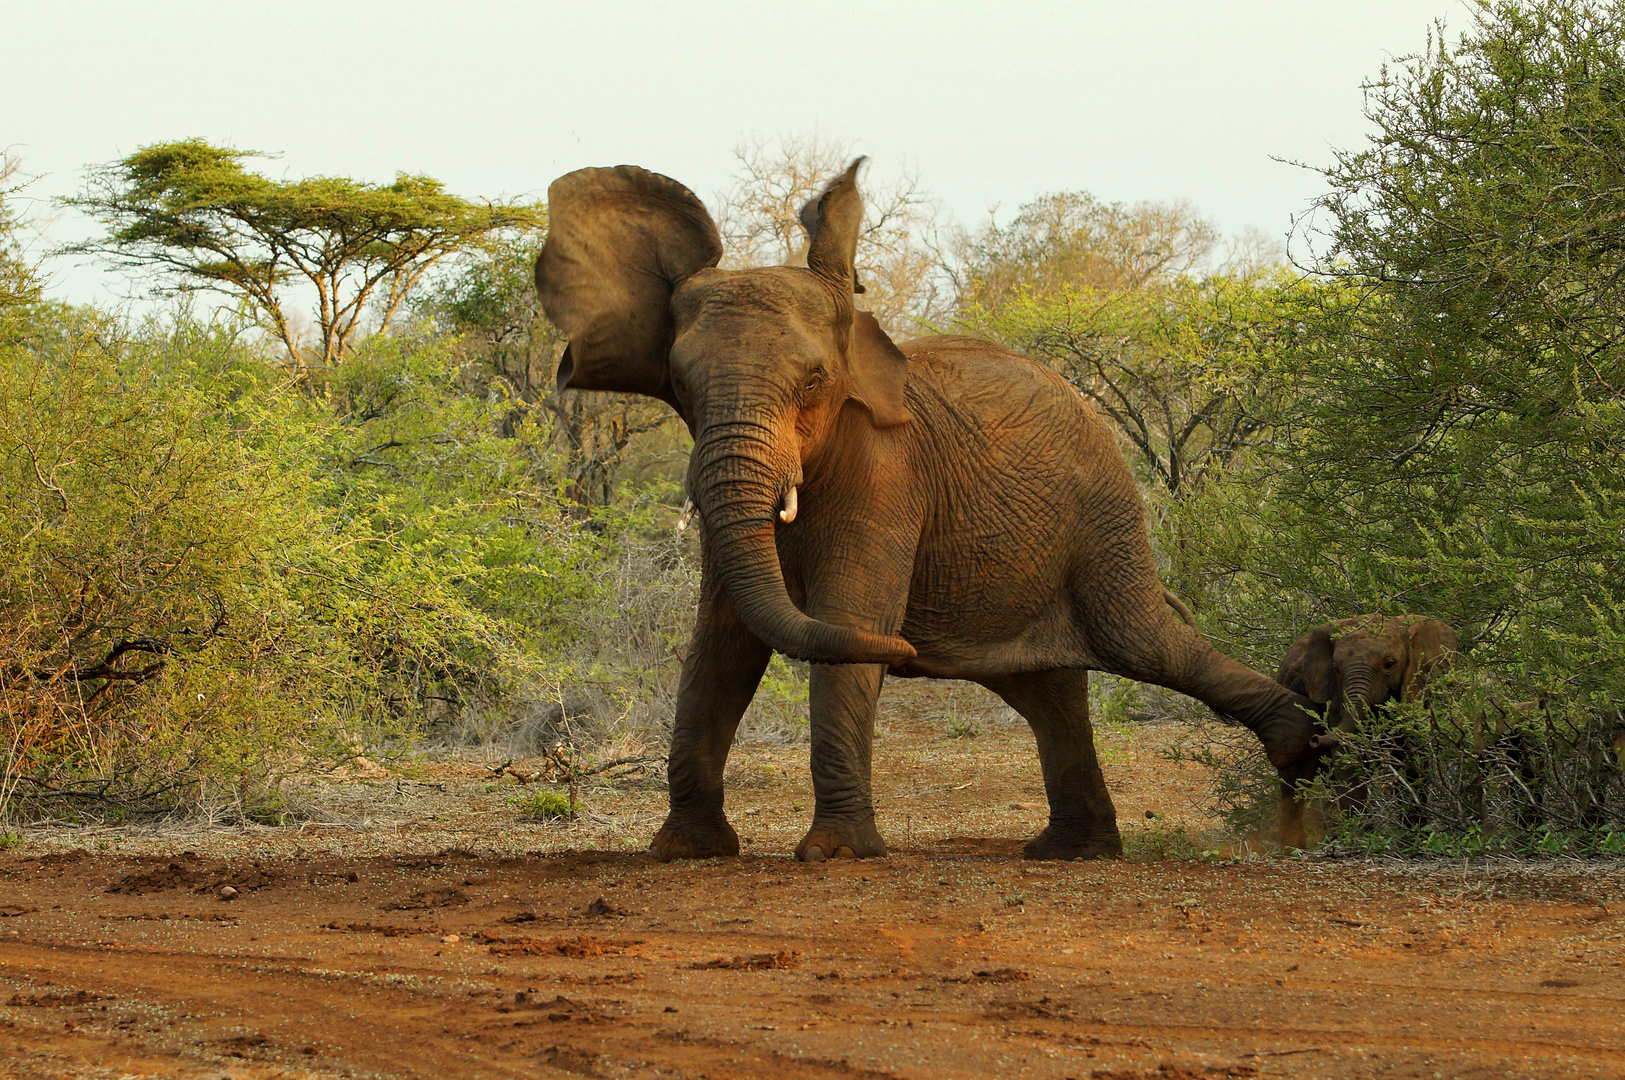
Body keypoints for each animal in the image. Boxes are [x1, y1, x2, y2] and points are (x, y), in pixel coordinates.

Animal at [533, 158, 1319, 857]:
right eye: (681, 384)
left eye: (812, 382)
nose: (908, 649)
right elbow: (721, 646)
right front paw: (685, 851)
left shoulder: (889, 476)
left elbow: (846, 618)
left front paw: (837, 855)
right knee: (1048, 690)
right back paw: (1073, 851)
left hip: (1104, 519)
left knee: (1145, 644)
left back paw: (1301, 755)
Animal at [1267, 613, 1462, 844]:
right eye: (1336, 668)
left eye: (1389, 664)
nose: (1314, 738)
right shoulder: (1334, 696)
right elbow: (1347, 757)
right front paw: (1362, 839)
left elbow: (1414, 753)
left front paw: (1415, 839)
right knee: (1295, 783)